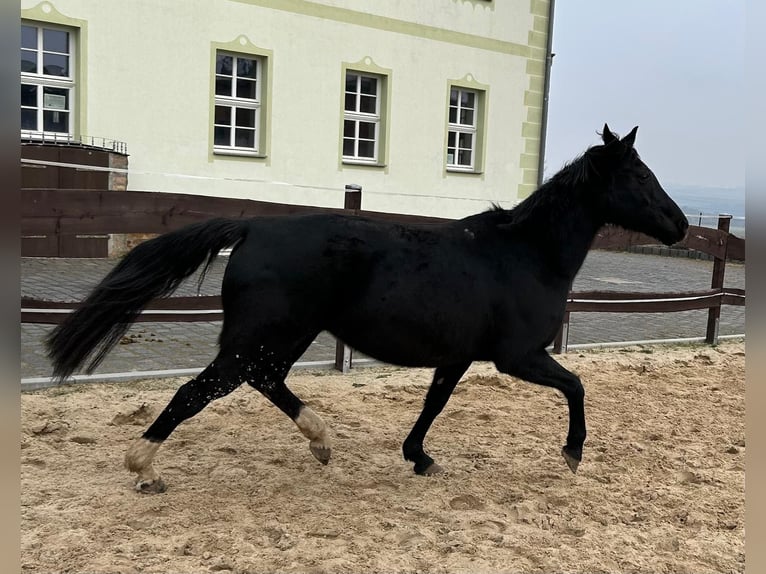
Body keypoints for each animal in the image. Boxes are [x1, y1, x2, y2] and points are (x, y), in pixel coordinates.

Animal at [45, 126, 688, 496]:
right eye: (638, 173)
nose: (680, 225)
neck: (524, 254)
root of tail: (254, 227)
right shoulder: (518, 356)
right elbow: (576, 385)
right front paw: (573, 454)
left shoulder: (457, 357)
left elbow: (434, 405)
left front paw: (420, 459)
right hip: (260, 336)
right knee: (197, 391)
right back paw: (145, 469)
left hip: (284, 337)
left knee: (265, 380)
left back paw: (321, 442)